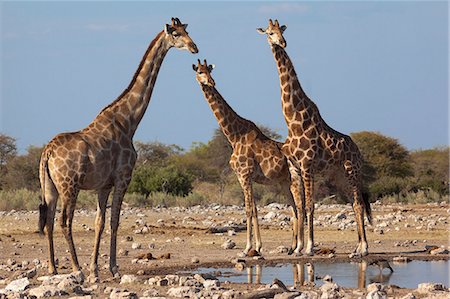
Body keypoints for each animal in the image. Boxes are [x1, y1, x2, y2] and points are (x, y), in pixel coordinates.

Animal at [37, 17, 200, 282]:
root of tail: (47, 153)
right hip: (70, 186)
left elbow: (100, 222)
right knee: (64, 221)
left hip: (49, 186)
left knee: (49, 219)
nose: (194, 47)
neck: (129, 121)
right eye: (175, 34)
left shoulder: (104, 185)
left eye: (187, 30)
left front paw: (95, 269)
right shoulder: (124, 178)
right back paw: (76, 269)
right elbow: (115, 221)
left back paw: (53, 268)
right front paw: (112, 268)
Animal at [192, 59, 304, 256]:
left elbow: (248, 210)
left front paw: (247, 248)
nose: (211, 82)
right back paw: (291, 247)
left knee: (300, 206)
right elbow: (255, 209)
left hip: (295, 178)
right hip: (284, 182)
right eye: (199, 71)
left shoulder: (245, 174)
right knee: (294, 209)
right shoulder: (243, 177)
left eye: (209, 71)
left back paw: (299, 247)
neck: (234, 136)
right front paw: (258, 246)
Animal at [258, 19, 370, 258]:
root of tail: (358, 150)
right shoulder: (296, 168)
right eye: (270, 33)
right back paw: (356, 247)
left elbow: (310, 206)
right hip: (339, 176)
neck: (292, 120)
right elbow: (300, 207)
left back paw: (364, 248)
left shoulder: (307, 165)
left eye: (281, 31)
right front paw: (299, 247)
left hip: (352, 171)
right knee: (353, 203)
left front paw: (309, 247)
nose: (282, 42)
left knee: (358, 204)